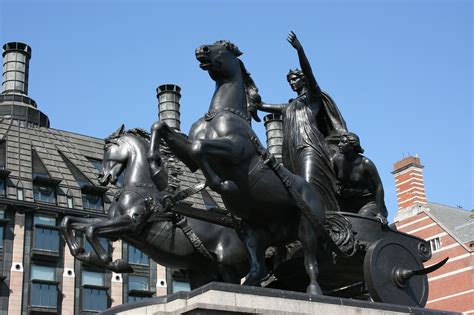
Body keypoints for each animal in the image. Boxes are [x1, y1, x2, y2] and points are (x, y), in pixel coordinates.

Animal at [150, 40, 328, 296]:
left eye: (223, 46)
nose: (201, 49)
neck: (220, 114)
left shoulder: (235, 150)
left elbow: (199, 148)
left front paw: (223, 184)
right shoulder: (190, 156)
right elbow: (163, 128)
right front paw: (157, 171)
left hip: (306, 226)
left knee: (311, 262)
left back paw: (313, 291)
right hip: (253, 232)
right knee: (258, 269)